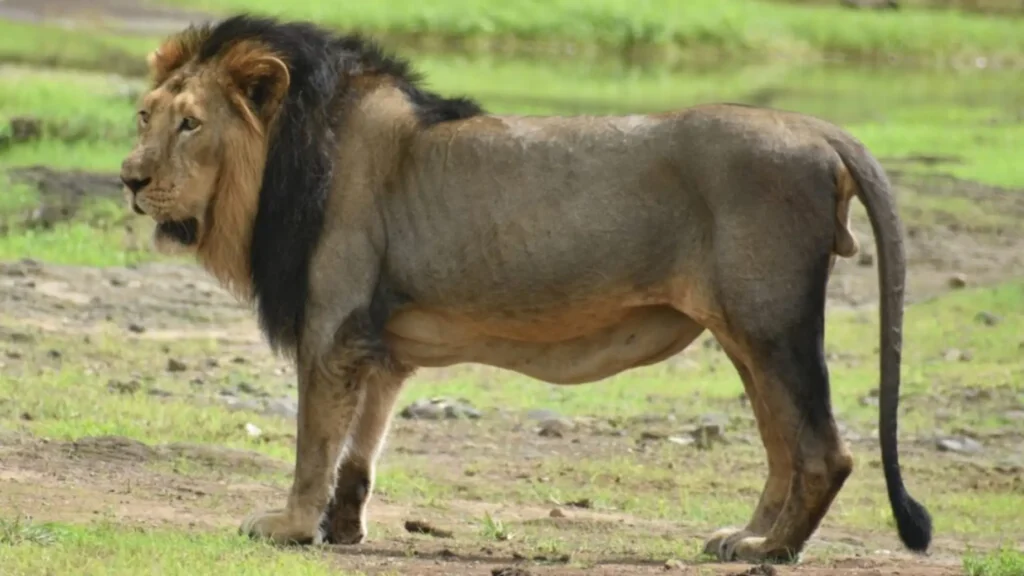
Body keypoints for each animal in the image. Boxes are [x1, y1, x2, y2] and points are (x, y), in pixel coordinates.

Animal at [119, 14, 932, 563]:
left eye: (191, 126)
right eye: (144, 116)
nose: (128, 179)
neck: (282, 162)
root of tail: (818, 129)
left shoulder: (333, 329)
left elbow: (314, 445)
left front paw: (289, 528)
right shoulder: (379, 346)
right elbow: (359, 453)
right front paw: (343, 530)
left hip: (772, 323)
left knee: (825, 451)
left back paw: (773, 550)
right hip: (745, 334)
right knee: (782, 447)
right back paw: (748, 536)